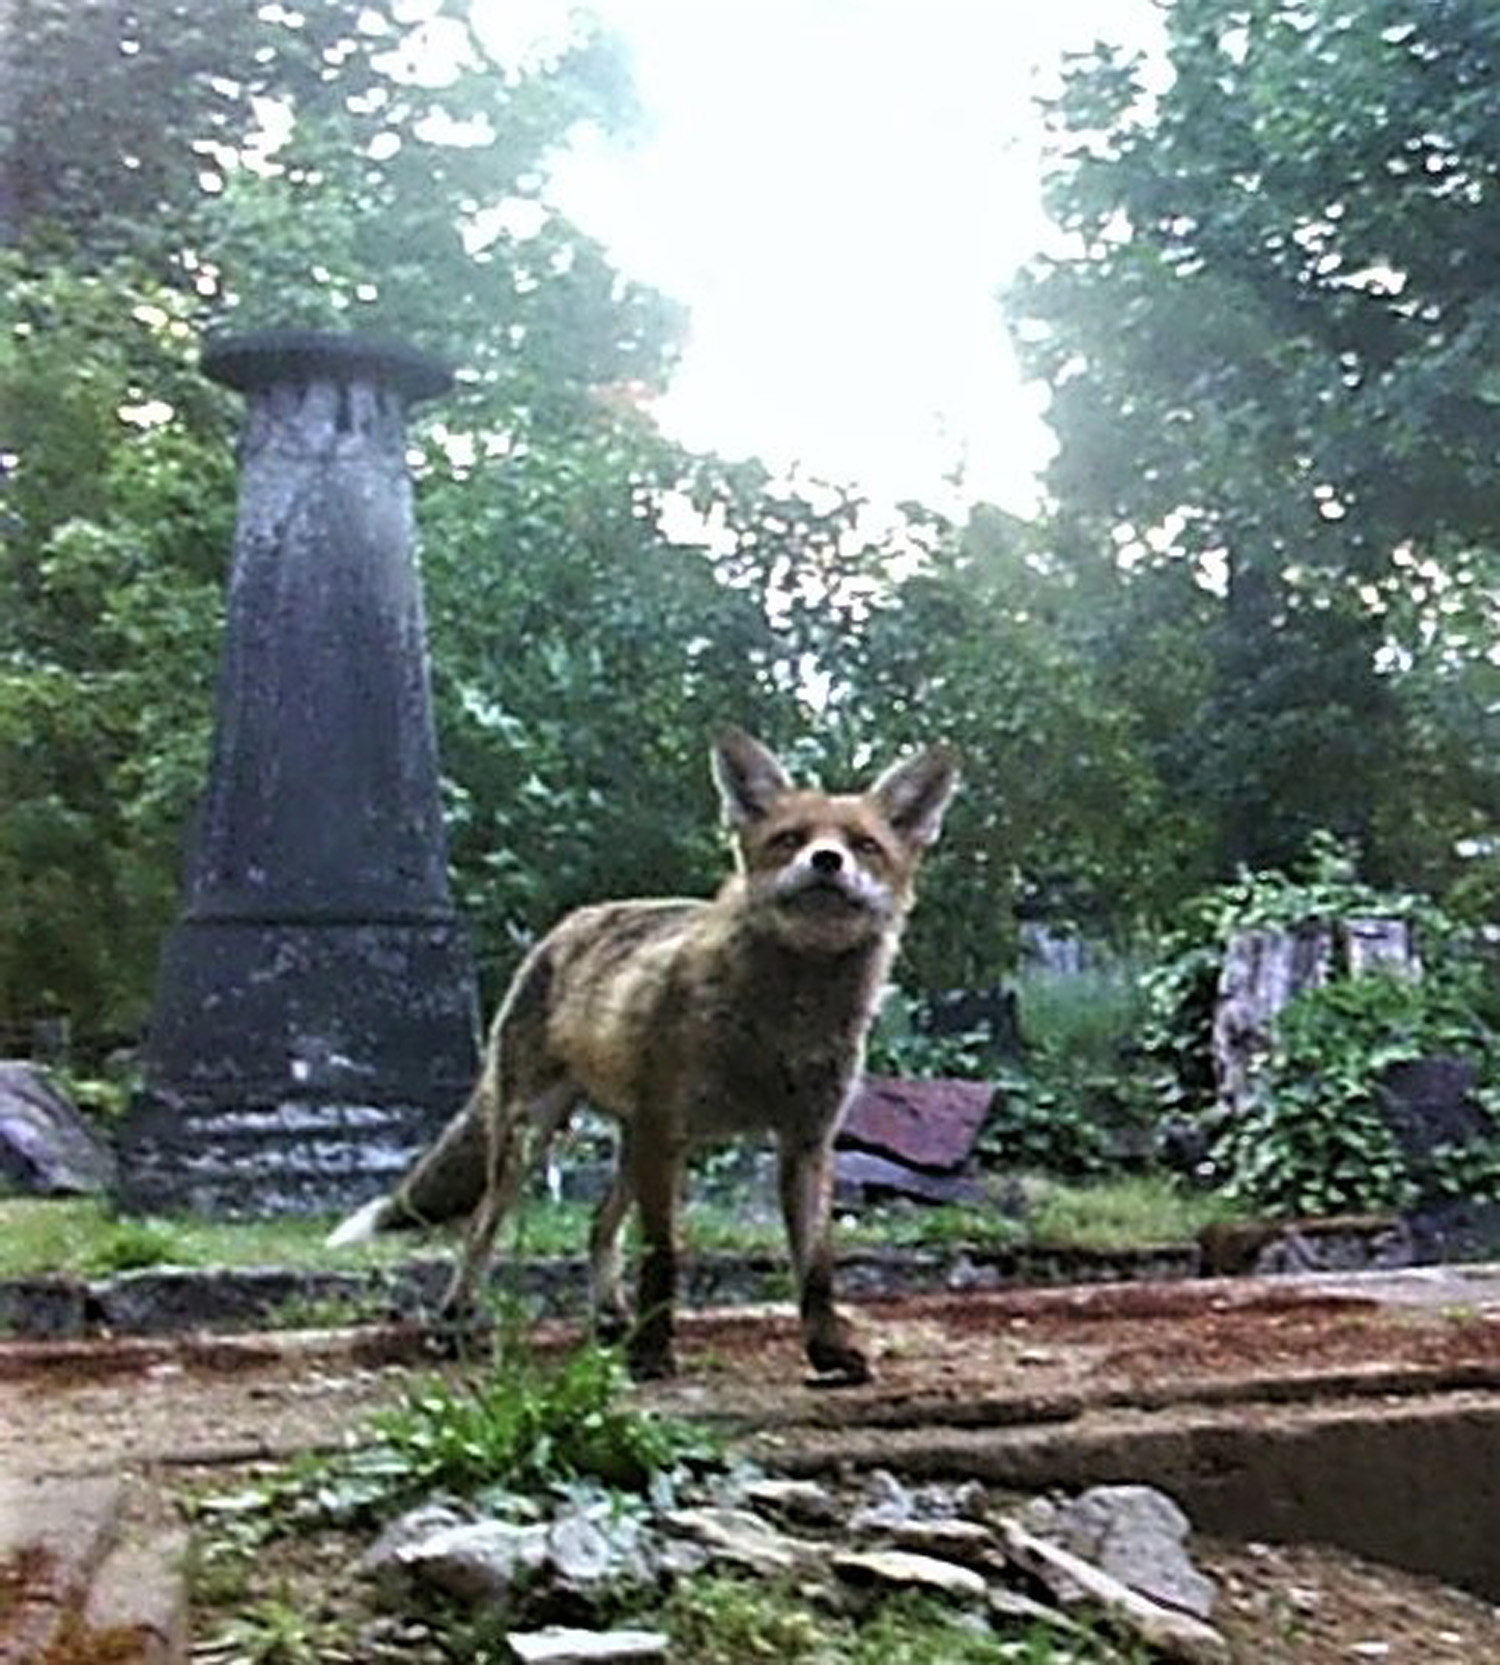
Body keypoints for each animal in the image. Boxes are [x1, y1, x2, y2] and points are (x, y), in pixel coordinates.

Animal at [332, 729, 952, 1378]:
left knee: (597, 1225)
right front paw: (653, 1352)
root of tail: (565, 927)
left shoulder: (806, 1141)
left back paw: (610, 1319)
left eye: (866, 845)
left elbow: (815, 1266)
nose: (827, 861)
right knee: (480, 1229)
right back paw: (456, 1327)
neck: (784, 1016)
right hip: (535, 1138)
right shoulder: (668, 1129)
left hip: (631, 1146)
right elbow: (663, 1256)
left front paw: (827, 1349)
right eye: (788, 839)